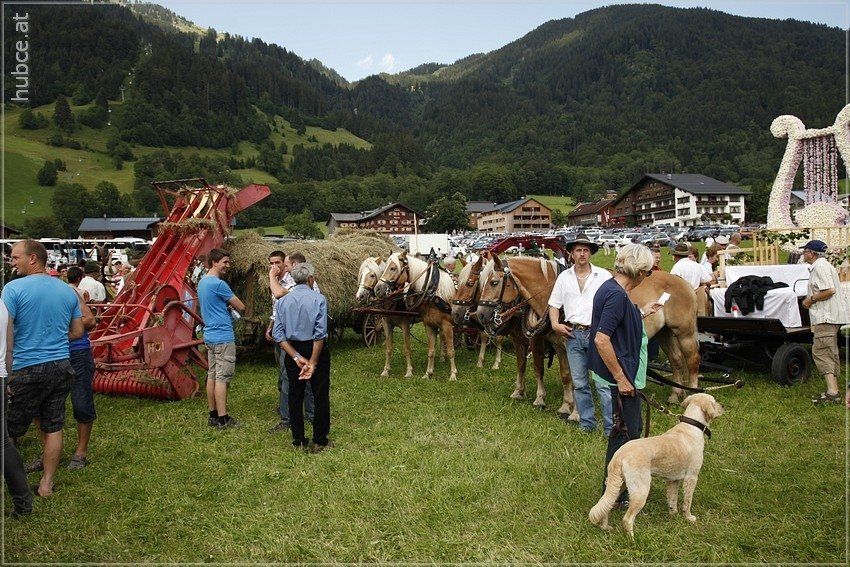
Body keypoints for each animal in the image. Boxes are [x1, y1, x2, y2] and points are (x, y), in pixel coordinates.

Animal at [375, 251, 458, 381]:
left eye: (393, 268)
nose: (377, 289)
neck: (434, 293)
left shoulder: (447, 325)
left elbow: (451, 350)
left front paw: (453, 374)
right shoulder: (429, 324)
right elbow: (430, 350)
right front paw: (428, 373)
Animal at [475, 256, 700, 404]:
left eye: (494, 282)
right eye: (481, 283)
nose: (480, 315)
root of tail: (683, 282)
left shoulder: (544, 342)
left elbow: (549, 370)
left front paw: (550, 401)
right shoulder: (551, 342)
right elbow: (550, 371)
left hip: (685, 332)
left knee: (692, 360)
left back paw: (692, 396)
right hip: (665, 333)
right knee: (676, 360)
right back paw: (674, 394)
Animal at [588, 393, 725, 538]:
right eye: (714, 402)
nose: (723, 406)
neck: (692, 426)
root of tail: (620, 455)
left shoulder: (673, 480)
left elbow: (672, 500)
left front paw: (673, 516)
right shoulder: (691, 477)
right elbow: (687, 501)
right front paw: (688, 518)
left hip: (618, 485)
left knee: (606, 505)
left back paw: (605, 527)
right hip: (641, 490)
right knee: (627, 518)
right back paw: (632, 539)